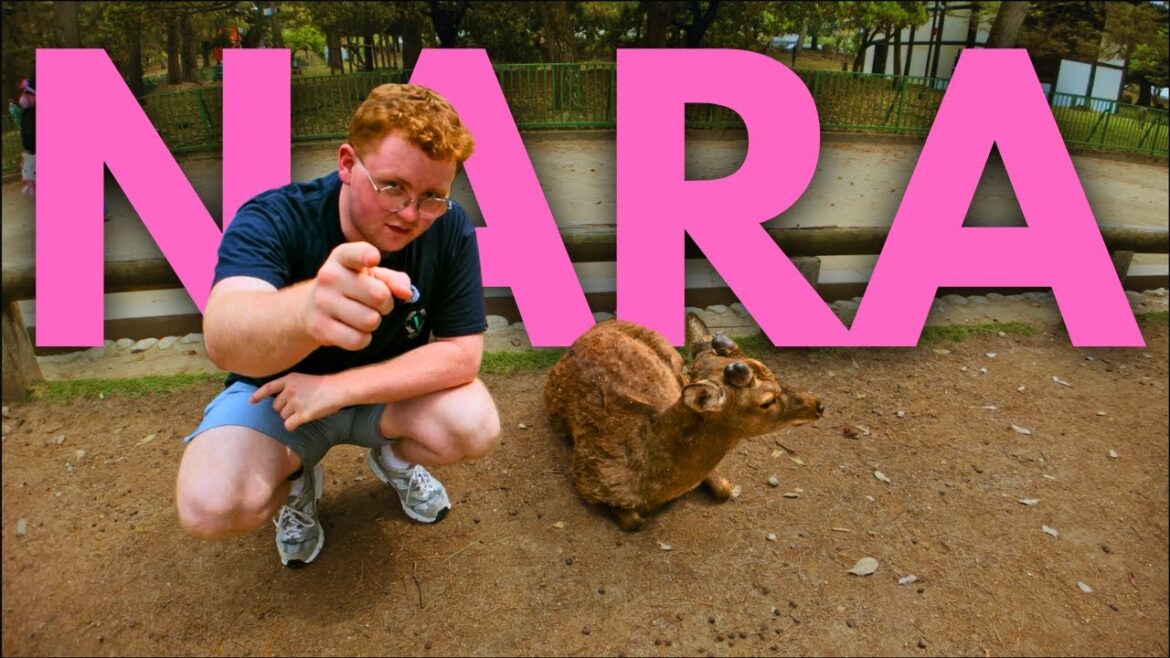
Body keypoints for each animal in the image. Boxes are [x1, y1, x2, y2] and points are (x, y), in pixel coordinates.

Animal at [544, 313, 824, 531]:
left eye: (773, 372)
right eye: (766, 401)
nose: (819, 404)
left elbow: (725, 489)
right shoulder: (586, 479)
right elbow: (634, 522)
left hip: (674, 359)